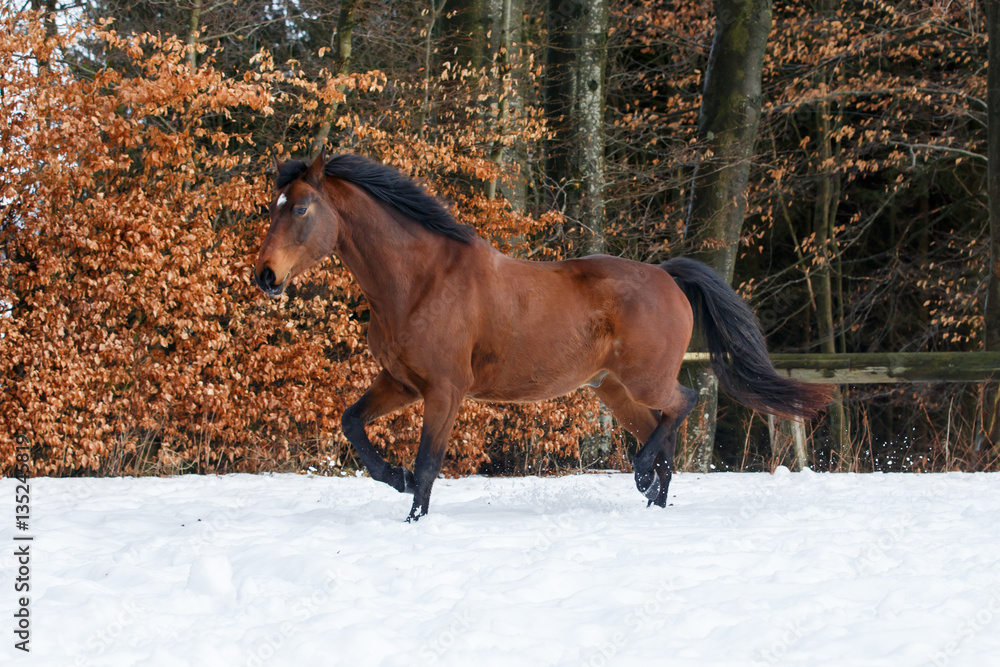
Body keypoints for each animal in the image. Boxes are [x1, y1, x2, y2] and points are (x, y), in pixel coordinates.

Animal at [254, 151, 832, 521]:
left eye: (300, 208)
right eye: (273, 207)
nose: (265, 276)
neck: (420, 281)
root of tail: (667, 276)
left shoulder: (444, 391)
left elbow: (428, 465)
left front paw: (413, 515)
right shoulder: (401, 383)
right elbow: (353, 425)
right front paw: (392, 476)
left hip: (644, 380)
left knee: (683, 405)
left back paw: (643, 476)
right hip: (613, 390)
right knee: (662, 432)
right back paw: (651, 497)